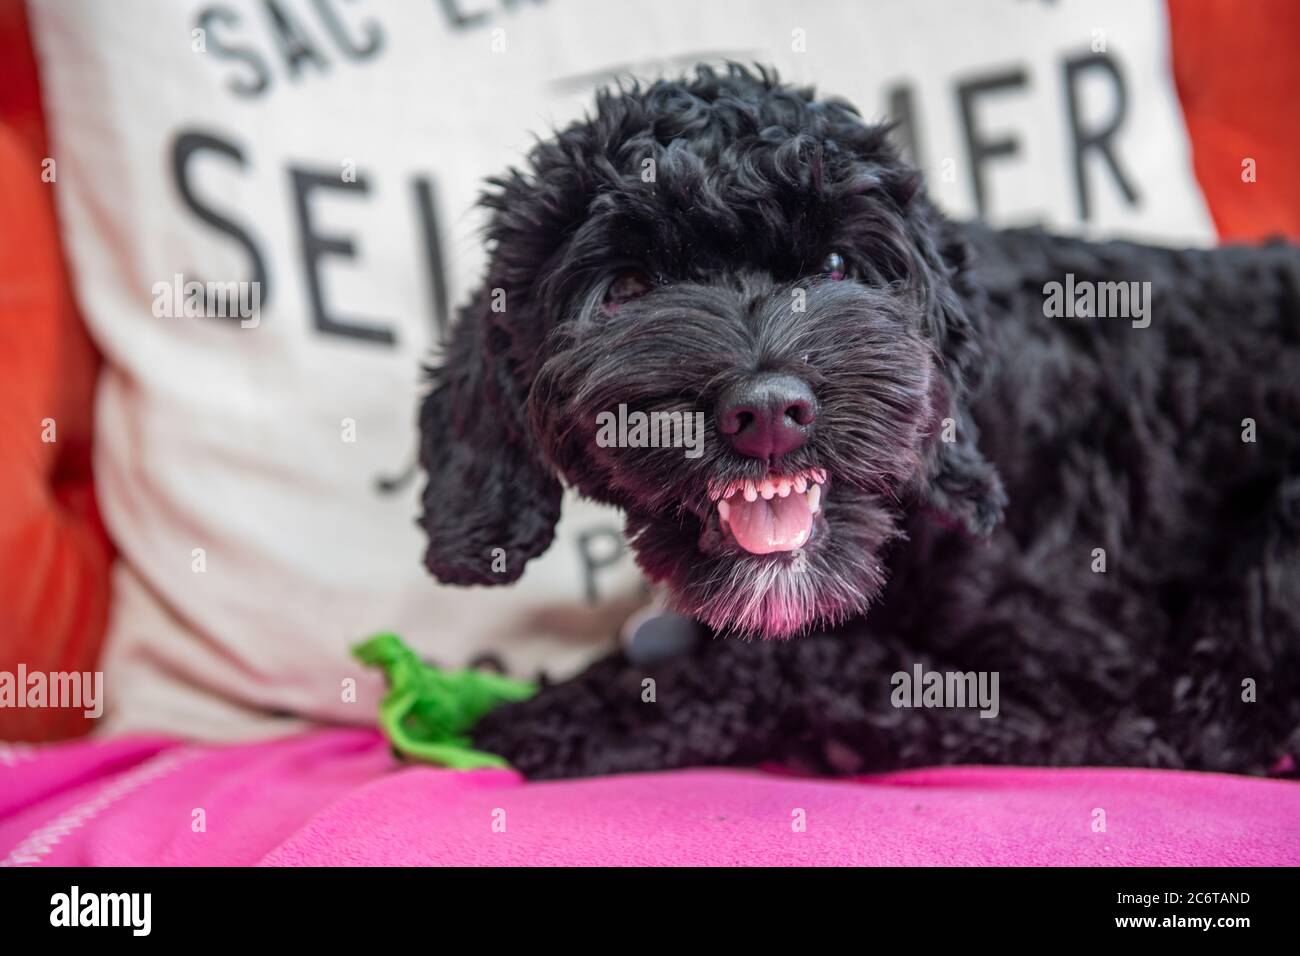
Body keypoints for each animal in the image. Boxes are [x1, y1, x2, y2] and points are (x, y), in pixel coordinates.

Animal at [416, 69, 1300, 785]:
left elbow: (783, 661)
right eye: (627, 288)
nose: (768, 409)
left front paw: (568, 717)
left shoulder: (1097, 662)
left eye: (837, 268)